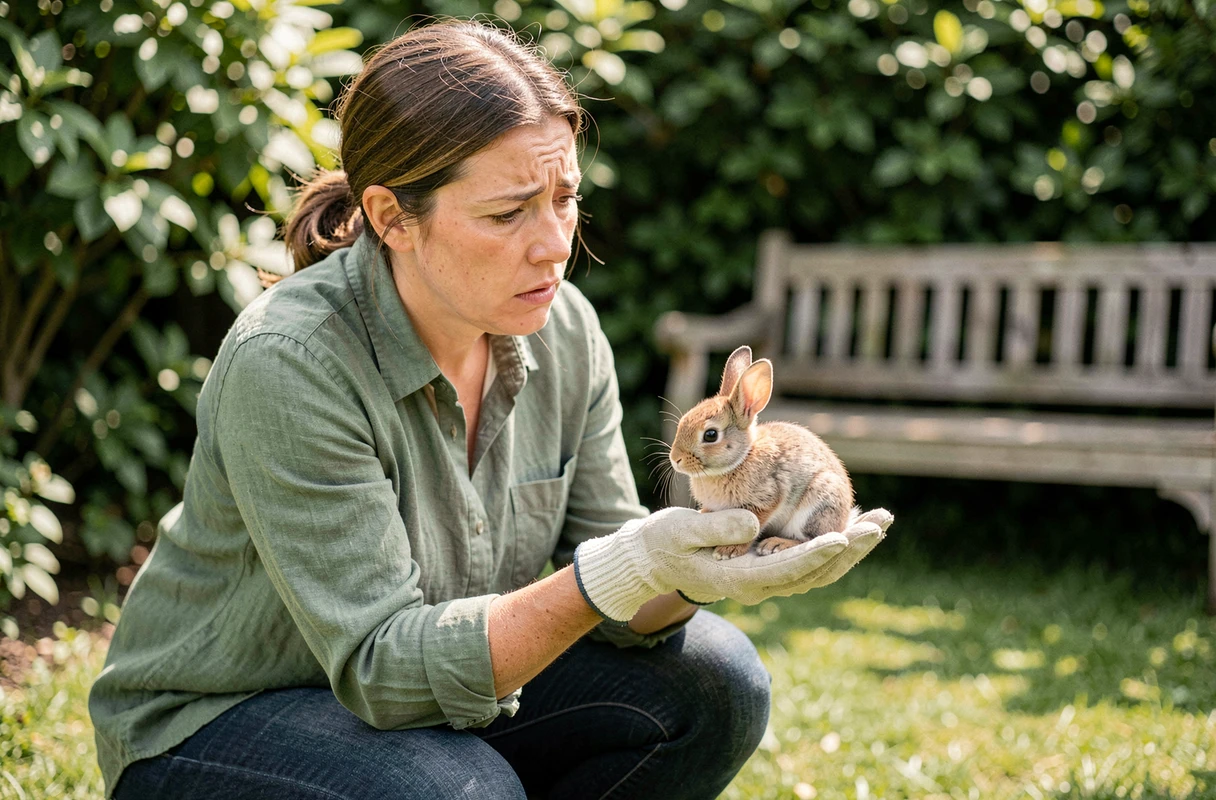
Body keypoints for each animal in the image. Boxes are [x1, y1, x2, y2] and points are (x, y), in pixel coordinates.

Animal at [668, 345, 856, 560]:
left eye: (710, 435)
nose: (675, 459)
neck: (740, 459)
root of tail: (844, 520)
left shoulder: (766, 499)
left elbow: (755, 526)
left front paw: (728, 551)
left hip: (819, 502)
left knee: (811, 538)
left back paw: (776, 544)